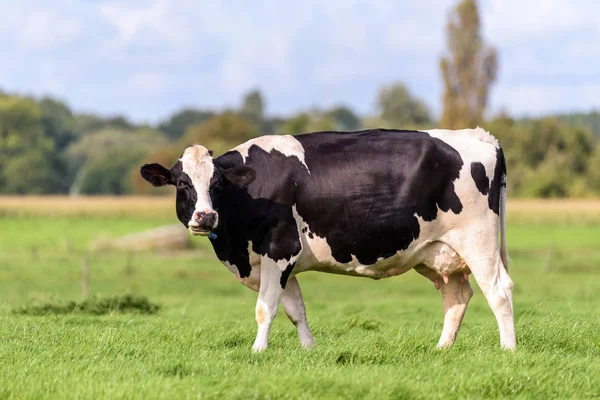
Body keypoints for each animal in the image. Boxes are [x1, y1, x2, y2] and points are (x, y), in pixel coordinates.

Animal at [141, 127, 516, 350]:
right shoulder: (278, 263)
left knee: (499, 291)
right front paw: (309, 349)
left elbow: (266, 308)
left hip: (478, 240)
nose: (205, 217)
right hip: (436, 252)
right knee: (457, 296)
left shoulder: (280, 249)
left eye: (217, 183)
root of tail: (480, 135)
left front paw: (258, 350)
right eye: (182, 183)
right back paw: (441, 350)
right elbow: (295, 309)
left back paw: (508, 349)